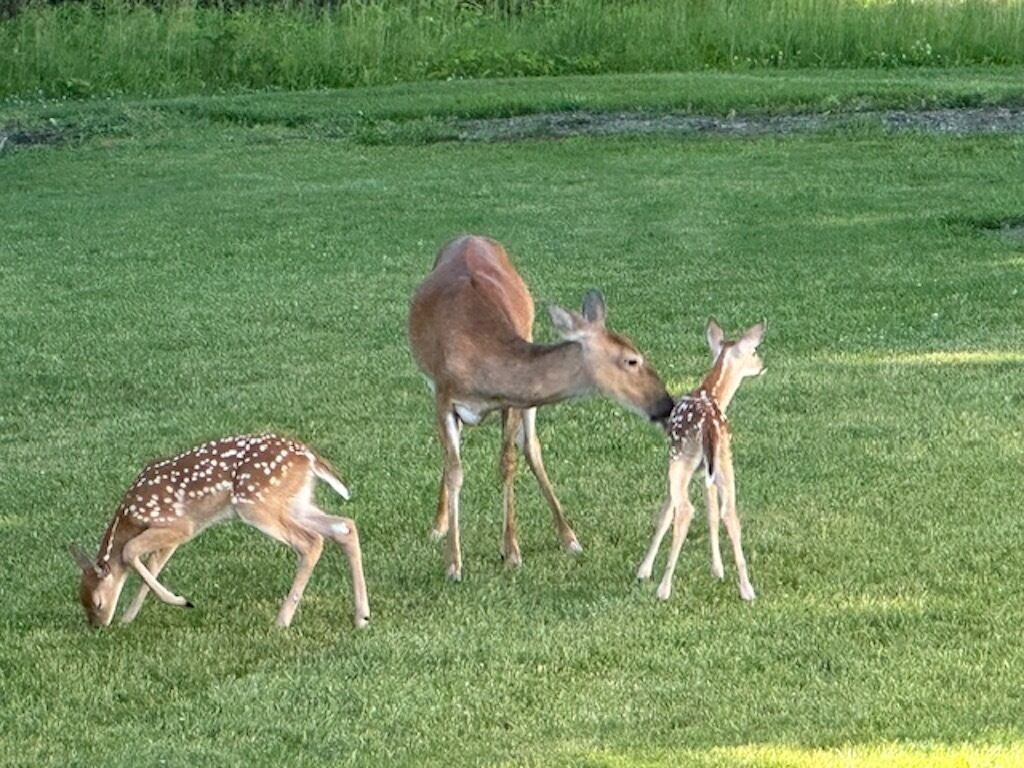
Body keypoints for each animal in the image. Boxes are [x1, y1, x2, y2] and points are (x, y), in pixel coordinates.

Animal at [69, 433, 370, 629]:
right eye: (82, 602)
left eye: (97, 603)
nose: (97, 626)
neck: (128, 516)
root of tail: (308, 457)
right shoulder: (173, 537)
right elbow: (152, 567)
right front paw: (128, 618)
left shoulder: (180, 525)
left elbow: (129, 552)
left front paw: (181, 601)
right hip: (295, 502)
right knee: (345, 526)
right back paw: (362, 617)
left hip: (256, 502)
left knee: (311, 541)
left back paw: (282, 621)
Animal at [408, 235, 674, 580]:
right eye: (632, 360)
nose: (666, 404)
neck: (478, 360)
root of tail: (470, 237)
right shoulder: (442, 394)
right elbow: (456, 471)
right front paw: (453, 563)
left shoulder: (512, 401)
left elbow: (508, 463)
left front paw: (511, 551)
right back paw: (438, 525)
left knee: (532, 447)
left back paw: (569, 536)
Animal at [637, 319, 766, 602]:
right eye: (753, 352)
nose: (762, 364)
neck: (711, 392)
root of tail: (708, 422)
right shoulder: (709, 471)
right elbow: (712, 513)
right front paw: (718, 569)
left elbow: (665, 513)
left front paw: (643, 570)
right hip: (725, 458)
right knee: (730, 511)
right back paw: (747, 589)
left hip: (679, 458)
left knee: (685, 509)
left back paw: (664, 588)